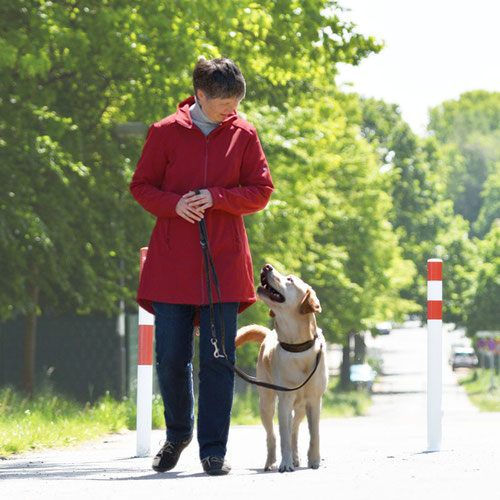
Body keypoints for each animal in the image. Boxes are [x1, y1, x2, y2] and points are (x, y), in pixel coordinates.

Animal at [234, 264, 328, 470]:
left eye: (290, 279)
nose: (266, 266)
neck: (297, 348)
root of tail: (269, 333)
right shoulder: (284, 401)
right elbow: (283, 435)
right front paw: (285, 464)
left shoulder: (314, 401)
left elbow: (315, 434)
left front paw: (314, 460)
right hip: (266, 402)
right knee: (273, 435)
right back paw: (272, 461)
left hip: (300, 408)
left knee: (294, 431)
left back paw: (296, 457)